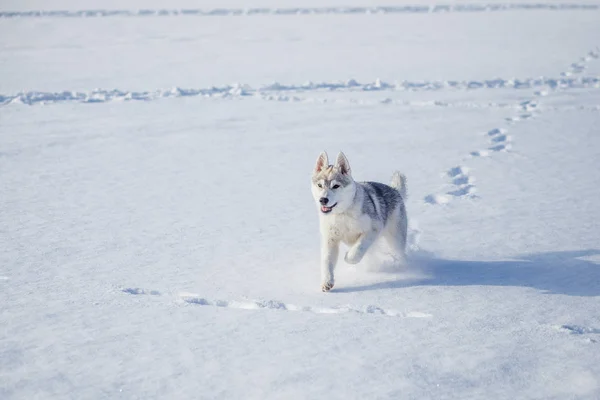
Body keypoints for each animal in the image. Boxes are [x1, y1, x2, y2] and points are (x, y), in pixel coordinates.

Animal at [310, 152, 408, 292]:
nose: (323, 200)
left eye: (336, 186)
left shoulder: (373, 229)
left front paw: (348, 257)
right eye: (320, 185)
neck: (342, 214)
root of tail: (395, 190)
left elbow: (358, 248)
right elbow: (327, 261)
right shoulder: (330, 239)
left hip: (395, 238)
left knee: (400, 253)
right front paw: (327, 282)